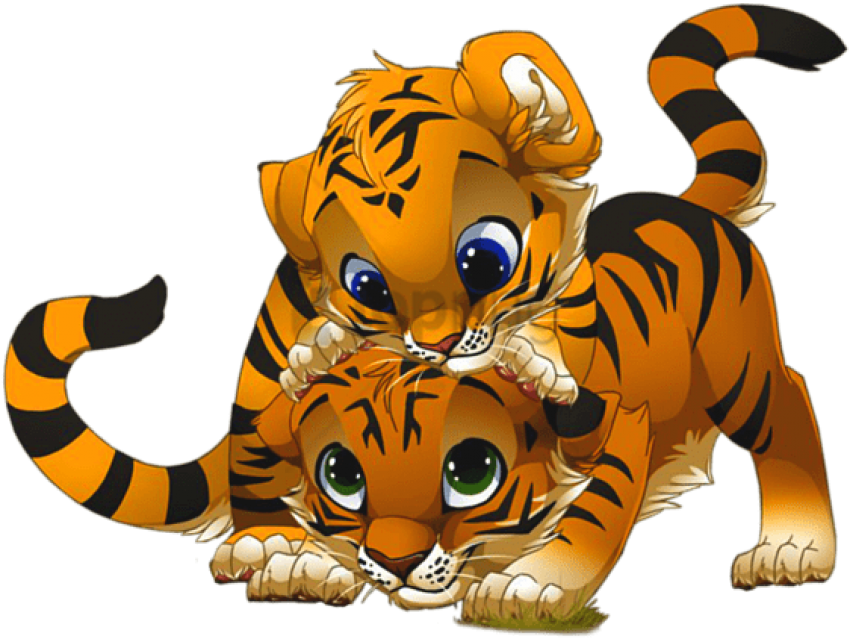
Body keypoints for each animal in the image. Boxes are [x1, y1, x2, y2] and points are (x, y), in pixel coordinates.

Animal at [3, 0, 843, 622]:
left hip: (739, 368)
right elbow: (261, 447)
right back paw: (277, 548)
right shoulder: (271, 369)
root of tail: (679, 201)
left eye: (485, 259)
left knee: (790, 403)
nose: (435, 345)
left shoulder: (610, 404)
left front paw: (533, 583)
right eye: (367, 284)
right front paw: (291, 550)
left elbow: (593, 499)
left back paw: (793, 549)